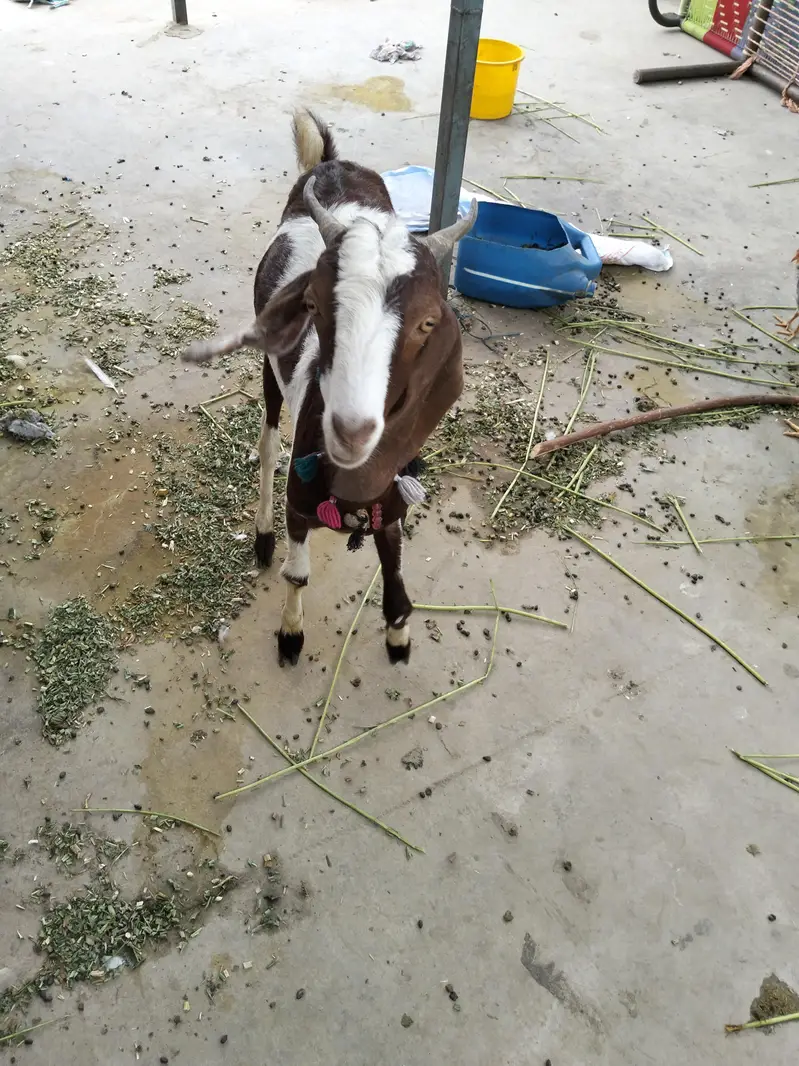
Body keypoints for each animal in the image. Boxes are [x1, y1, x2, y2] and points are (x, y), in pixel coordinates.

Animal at [182, 109, 476, 665]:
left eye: (429, 322)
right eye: (313, 304)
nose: (351, 431)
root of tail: (333, 163)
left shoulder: (391, 505)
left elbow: (396, 580)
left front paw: (399, 639)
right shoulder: (300, 505)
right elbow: (297, 573)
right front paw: (290, 635)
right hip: (271, 374)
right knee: (268, 444)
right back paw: (261, 535)